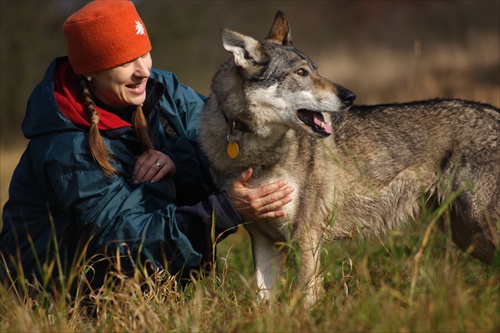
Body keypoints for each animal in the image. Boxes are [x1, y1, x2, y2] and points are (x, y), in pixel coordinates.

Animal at [197, 10, 498, 306]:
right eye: (301, 72)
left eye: (316, 69)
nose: (350, 96)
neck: (255, 153)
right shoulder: (262, 239)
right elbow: (264, 303)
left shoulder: (305, 235)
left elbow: (307, 297)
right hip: (465, 235)